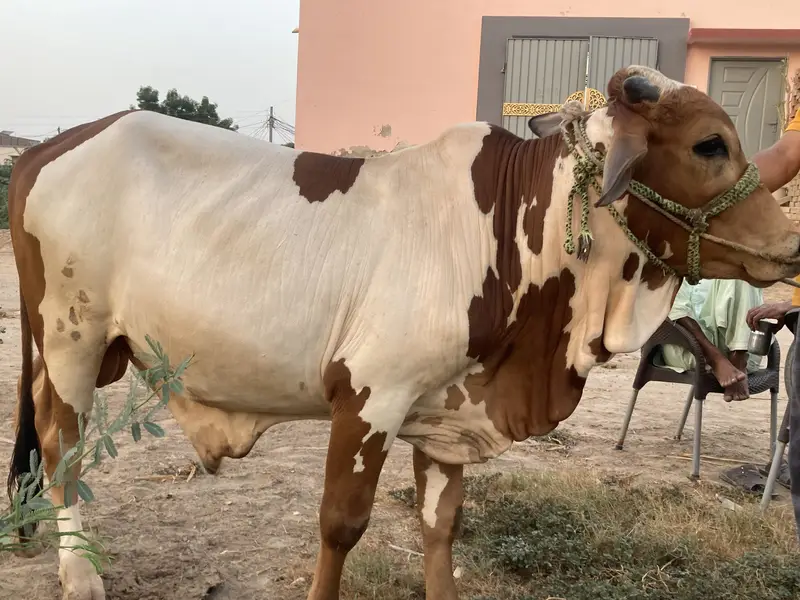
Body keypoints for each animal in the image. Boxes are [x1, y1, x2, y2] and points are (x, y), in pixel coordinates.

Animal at [6, 65, 800, 600]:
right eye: (709, 145)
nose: (788, 242)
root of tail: (51, 147)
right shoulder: (369, 397)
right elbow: (340, 524)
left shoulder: (449, 410)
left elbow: (440, 525)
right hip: (73, 338)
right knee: (62, 442)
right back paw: (79, 570)